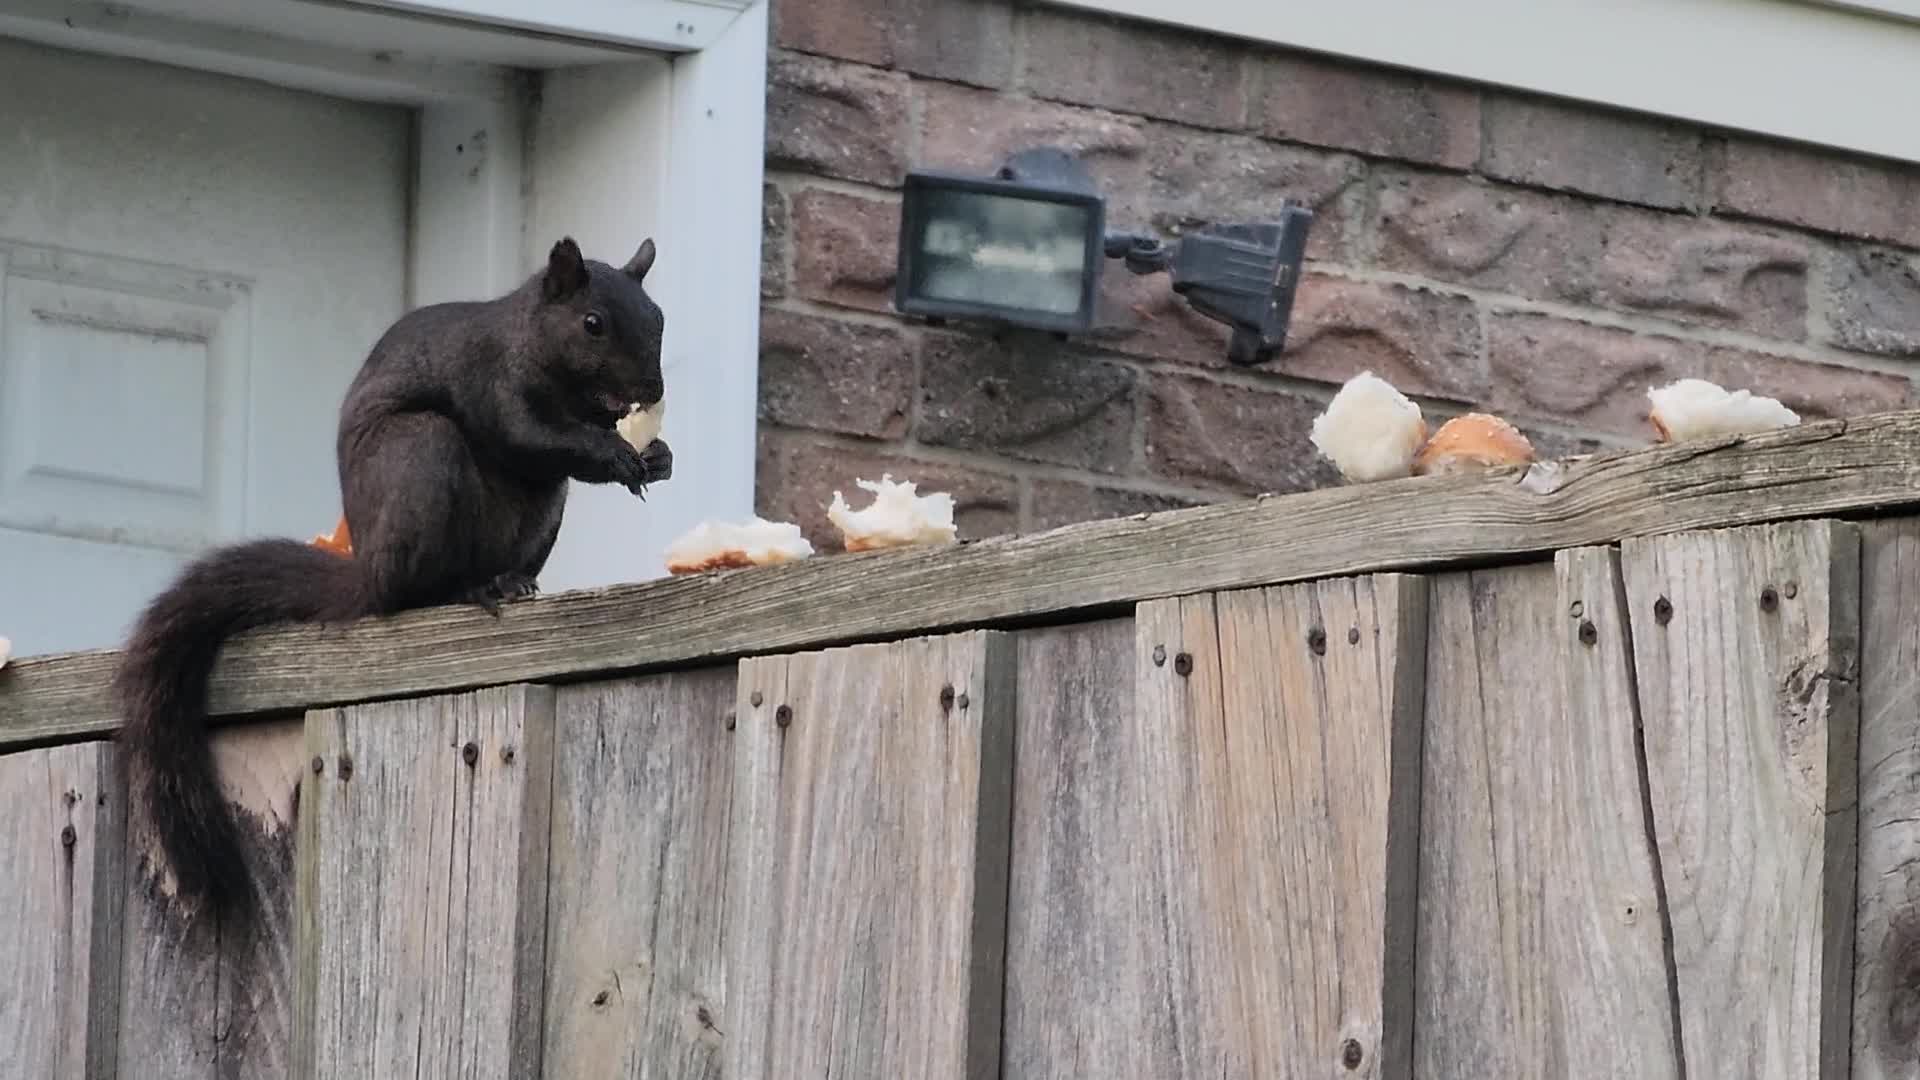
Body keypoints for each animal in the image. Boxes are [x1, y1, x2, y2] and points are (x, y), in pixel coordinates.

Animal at [114, 236, 672, 923]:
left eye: (659, 318)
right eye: (592, 323)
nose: (651, 386)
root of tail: (368, 569)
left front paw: (659, 456)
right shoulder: (494, 380)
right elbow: (530, 436)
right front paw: (618, 454)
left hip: (540, 512)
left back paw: (508, 580)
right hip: (420, 456)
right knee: (409, 592)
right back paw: (466, 590)